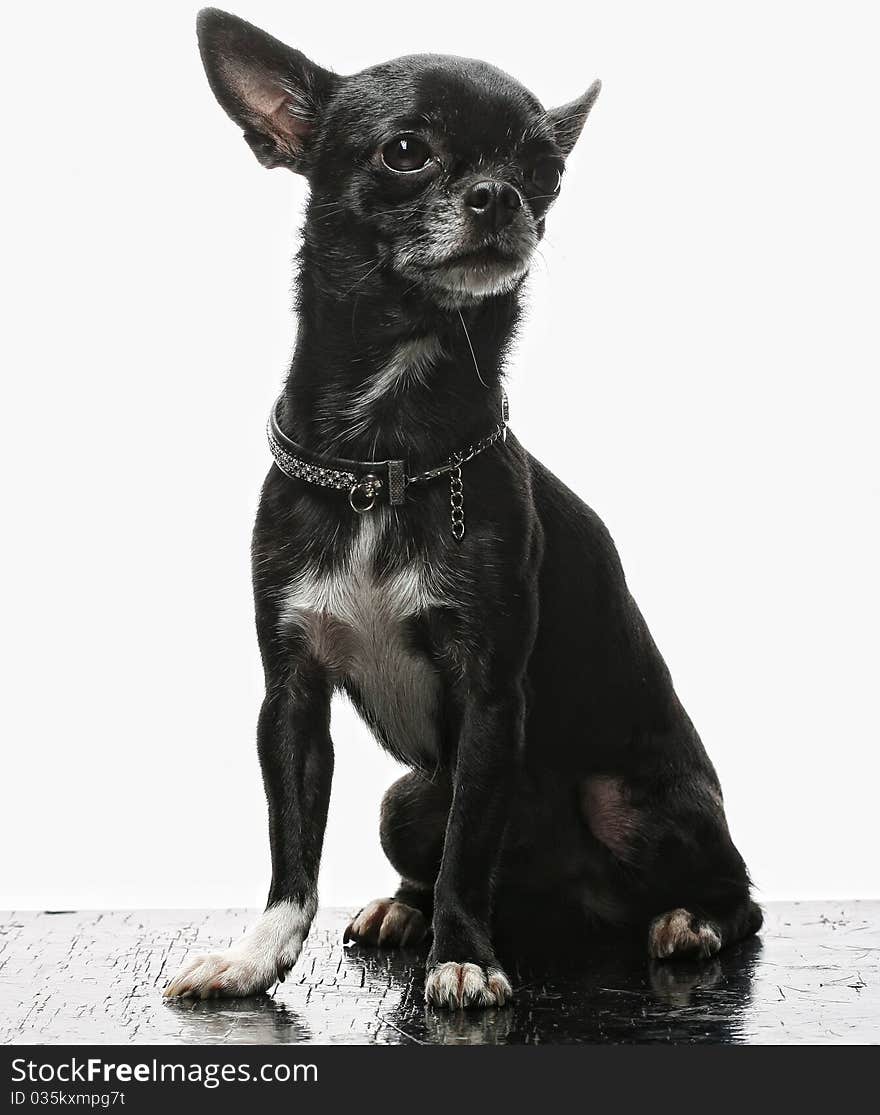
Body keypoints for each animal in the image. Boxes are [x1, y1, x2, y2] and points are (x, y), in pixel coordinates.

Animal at [166, 4, 762, 1012]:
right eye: (407, 151)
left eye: (546, 169)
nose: (500, 196)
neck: (388, 448)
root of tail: (580, 911)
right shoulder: (291, 696)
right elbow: (294, 849)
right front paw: (257, 955)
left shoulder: (490, 697)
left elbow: (468, 849)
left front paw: (464, 956)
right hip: (404, 796)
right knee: (433, 846)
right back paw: (403, 910)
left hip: (628, 798)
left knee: (738, 891)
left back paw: (689, 922)